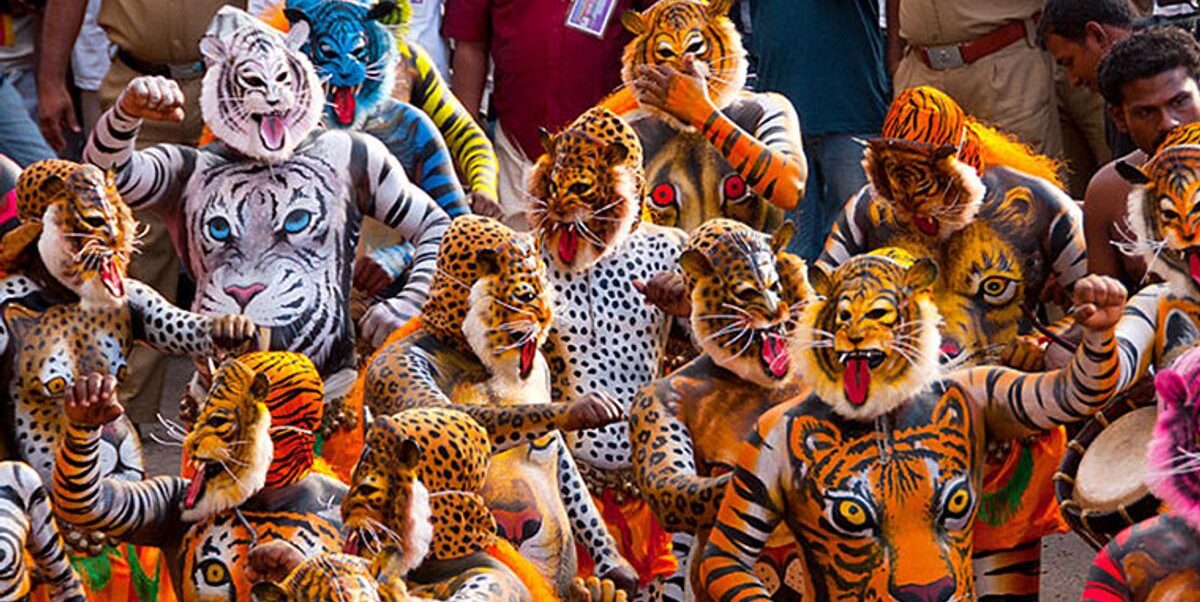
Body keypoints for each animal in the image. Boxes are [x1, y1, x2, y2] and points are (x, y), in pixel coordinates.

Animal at [52, 352, 347, 601]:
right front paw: (89, 403)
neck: (268, 496)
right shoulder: (167, 498)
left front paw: (281, 559)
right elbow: (92, 502)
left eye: (217, 420)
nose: (191, 441)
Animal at [83, 7, 451, 433]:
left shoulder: (370, 159)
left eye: (297, 221)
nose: (244, 295)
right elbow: (110, 169)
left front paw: (392, 314)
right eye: (251, 78)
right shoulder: (175, 169)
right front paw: (147, 95)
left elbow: (434, 221)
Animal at [362, 215, 635, 595]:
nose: (545, 318)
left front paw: (614, 564)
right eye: (524, 294)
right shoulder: (395, 364)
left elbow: (567, 470)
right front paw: (583, 408)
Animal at [696, 251, 1126, 601]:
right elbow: (728, 554)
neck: (878, 412)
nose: (854, 338)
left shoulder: (984, 390)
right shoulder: (764, 441)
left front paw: (1100, 306)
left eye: (879, 313)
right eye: (843, 314)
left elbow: (1071, 392)